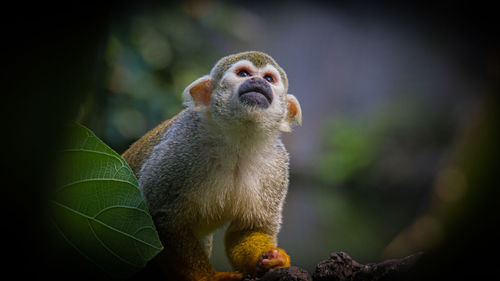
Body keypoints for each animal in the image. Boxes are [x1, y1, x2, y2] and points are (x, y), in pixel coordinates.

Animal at [122, 50, 300, 280]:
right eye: (243, 73)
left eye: (269, 78)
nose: (258, 81)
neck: (237, 142)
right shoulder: (181, 146)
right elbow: (162, 216)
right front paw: (208, 276)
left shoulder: (276, 165)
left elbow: (249, 228)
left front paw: (269, 259)